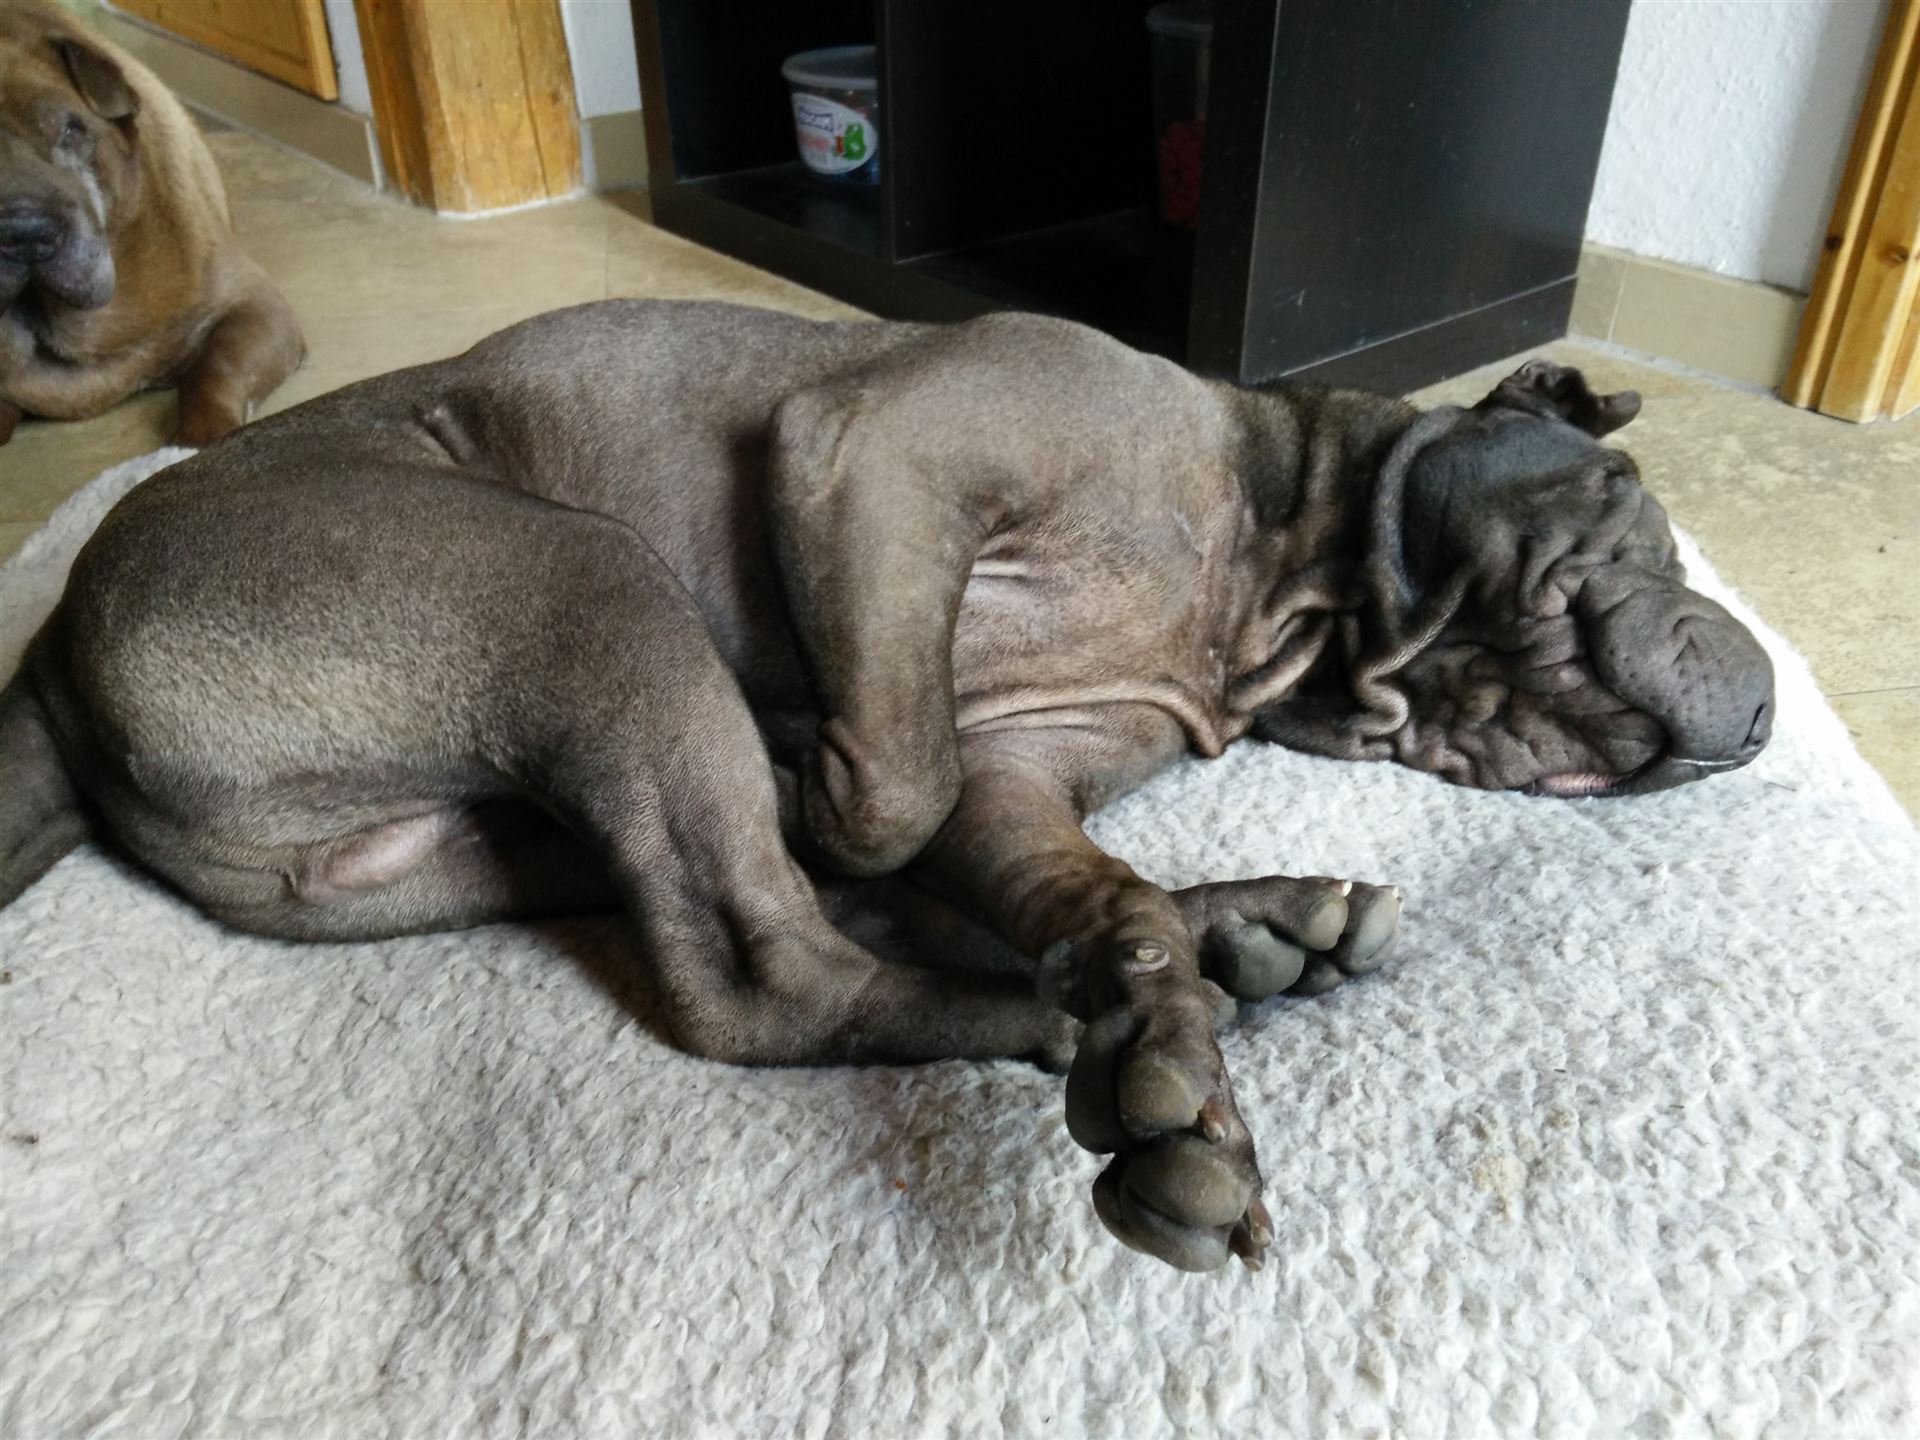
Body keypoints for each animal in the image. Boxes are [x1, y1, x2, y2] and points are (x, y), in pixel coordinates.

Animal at [0, 300, 1775, 1272]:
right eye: (1640, 514)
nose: (1763, 714)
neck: (1278, 575)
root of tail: (62, 660)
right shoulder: (886, 454)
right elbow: (892, 796)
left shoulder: (1022, 777)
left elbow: (1074, 882)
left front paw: (1157, 997)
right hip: (587, 583)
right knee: (765, 966)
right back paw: (1084, 1010)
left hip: (508, 824)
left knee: (808, 926)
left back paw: (1231, 948)